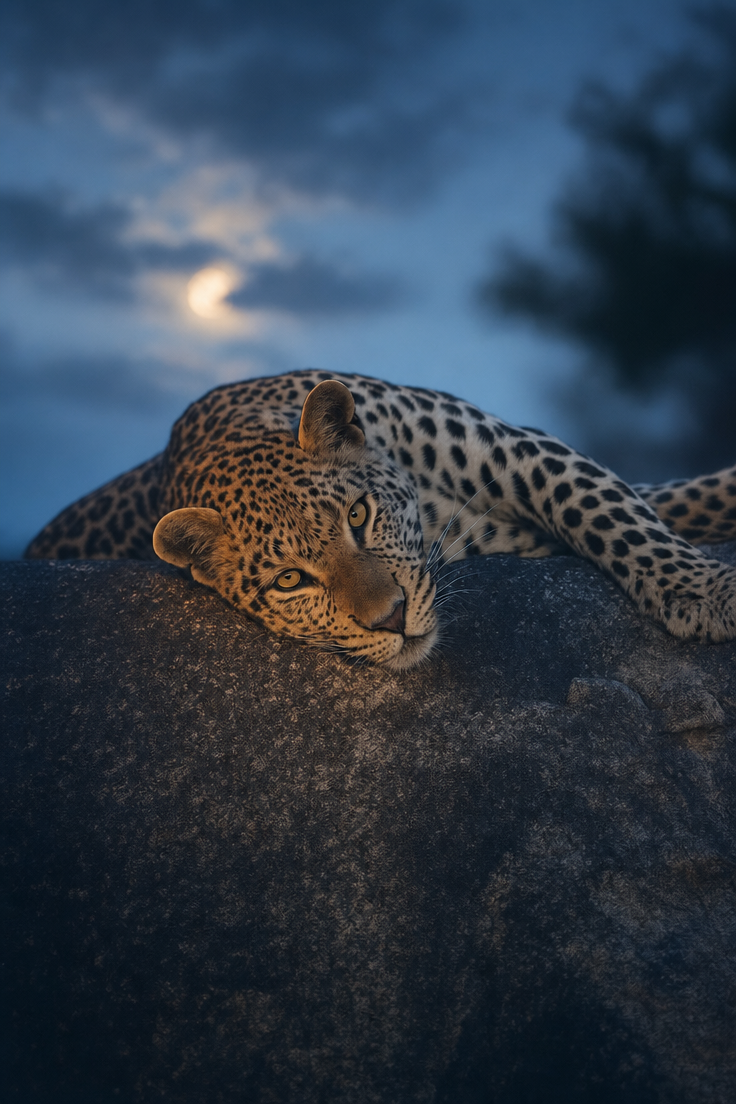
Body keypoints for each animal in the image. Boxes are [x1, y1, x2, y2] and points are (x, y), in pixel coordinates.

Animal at [25, 369, 736, 670]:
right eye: (290, 581)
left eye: (359, 515)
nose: (390, 619)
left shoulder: (516, 449)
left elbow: (606, 505)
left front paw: (703, 590)